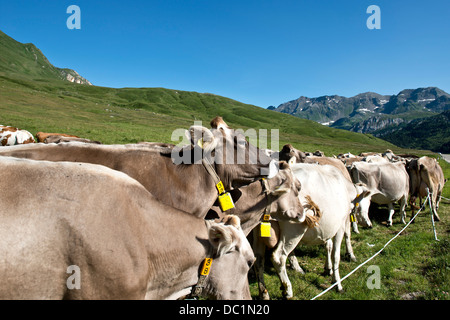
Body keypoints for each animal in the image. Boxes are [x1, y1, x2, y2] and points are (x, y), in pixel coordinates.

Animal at [251, 164, 370, 298]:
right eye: (366, 203)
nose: (369, 224)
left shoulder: (328, 226)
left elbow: (328, 245)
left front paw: (328, 268)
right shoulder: (339, 226)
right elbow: (336, 255)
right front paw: (337, 284)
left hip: (258, 234)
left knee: (258, 260)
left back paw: (264, 293)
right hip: (292, 232)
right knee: (278, 257)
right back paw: (287, 290)